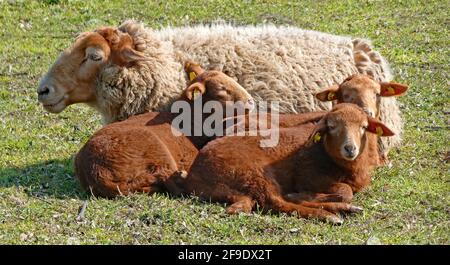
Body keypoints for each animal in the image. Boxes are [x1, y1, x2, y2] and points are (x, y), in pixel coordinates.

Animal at [176, 103, 394, 223]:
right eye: (331, 126)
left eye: (364, 127)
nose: (350, 148)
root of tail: (194, 172)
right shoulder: (307, 174)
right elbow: (345, 191)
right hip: (253, 173)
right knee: (276, 202)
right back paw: (328, 214)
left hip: (240, 185)